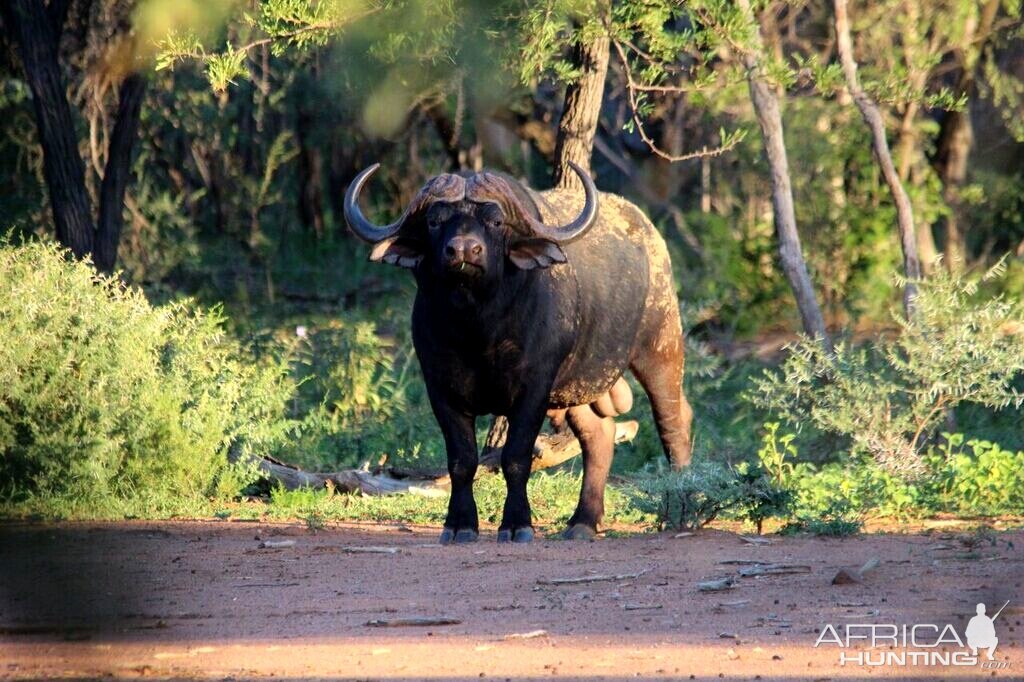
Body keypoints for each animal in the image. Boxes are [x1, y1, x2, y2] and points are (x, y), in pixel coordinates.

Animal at [348, 161, 692, 540]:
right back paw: (583, 522)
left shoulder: (534, 388)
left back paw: (682, 510)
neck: (478, 331)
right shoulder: (439, 388)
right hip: (577, 387)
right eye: (435, 221)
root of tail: (651, 237)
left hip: (661, 348)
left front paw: (516, 524)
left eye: (496, 222)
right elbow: (461, 460)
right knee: (599, 436)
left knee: (674, 423)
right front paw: (459, 524)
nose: (463, 251)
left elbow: (515, 457)